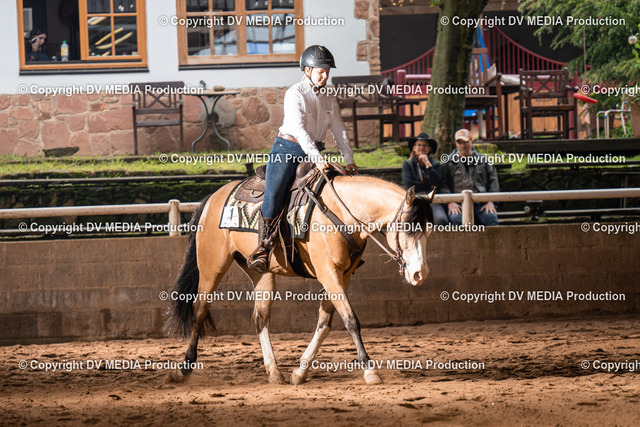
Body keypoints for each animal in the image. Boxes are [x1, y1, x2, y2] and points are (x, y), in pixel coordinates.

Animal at [165, 173, 435, 385]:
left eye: (430, 230)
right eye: (409, 228)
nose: (420, 274)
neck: (340, 212)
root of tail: (213, 197)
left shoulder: (341, 276)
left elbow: (324, 324)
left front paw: (300, 372)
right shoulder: (328, 273)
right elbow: (351, 320)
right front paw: (370, 371)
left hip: (261, 273)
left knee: (260, 318)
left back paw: (274, 372)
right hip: (212, 265)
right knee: (199, 310)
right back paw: (183, 369)